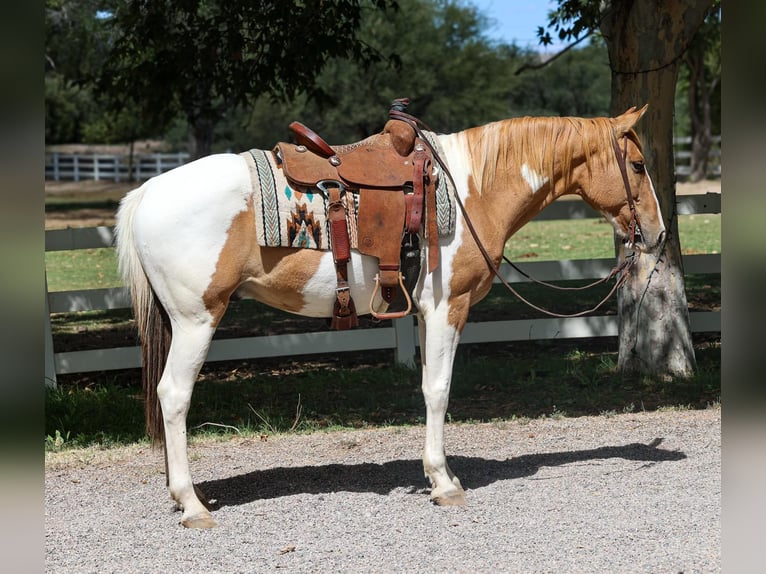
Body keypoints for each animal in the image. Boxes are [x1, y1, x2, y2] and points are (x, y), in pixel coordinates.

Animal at [114, 106, 664, 528]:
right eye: (638, 164)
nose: (658, 234)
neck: (473, 189)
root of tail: (147, 192)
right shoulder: (447, 307)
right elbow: (439, 390)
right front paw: (443, 482)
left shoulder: (424, 312)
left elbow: (428, 386)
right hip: (196, 319)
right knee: (174, 396)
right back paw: (191, 504)